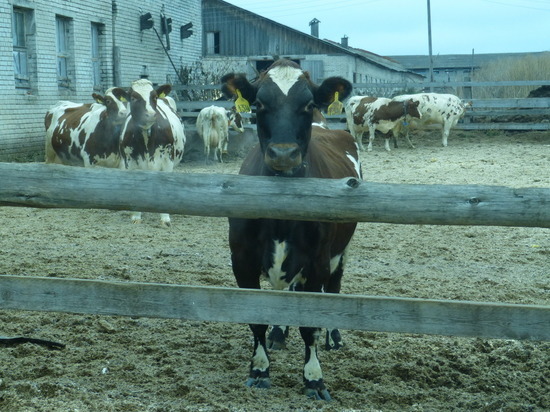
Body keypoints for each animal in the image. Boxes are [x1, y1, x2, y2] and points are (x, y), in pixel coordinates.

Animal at [119, 79, 187, 227]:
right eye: (133, 98)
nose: (150, 115)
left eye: (154, 97)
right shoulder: (130, 162)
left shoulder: (167, 161)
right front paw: (136, 216)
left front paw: (165, 218)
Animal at [222, 58, 364, 400]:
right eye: (259, 104)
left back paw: (334, 337)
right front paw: (259, 369)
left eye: (308, 103)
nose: (284, 154)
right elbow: (257, 318)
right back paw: (279, 333)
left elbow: (309, 322)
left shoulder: (319, 261)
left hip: (341, 250)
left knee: (334, 287)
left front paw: (314, 378)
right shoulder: (241, 260)